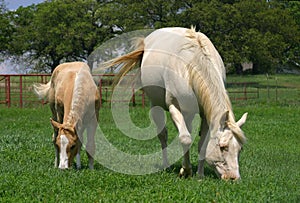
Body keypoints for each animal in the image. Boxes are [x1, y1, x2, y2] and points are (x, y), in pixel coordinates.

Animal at [105, 26, 248, 179]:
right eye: (223, 147)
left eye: (240, 149)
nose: (234, 178)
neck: (191, 65)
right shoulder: (175, 107)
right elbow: (185, 139)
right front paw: (186, 170)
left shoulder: (205, 113)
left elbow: (202, 145)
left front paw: (200, 175)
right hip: (157, 105)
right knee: (163, 135)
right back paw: (166, 165)